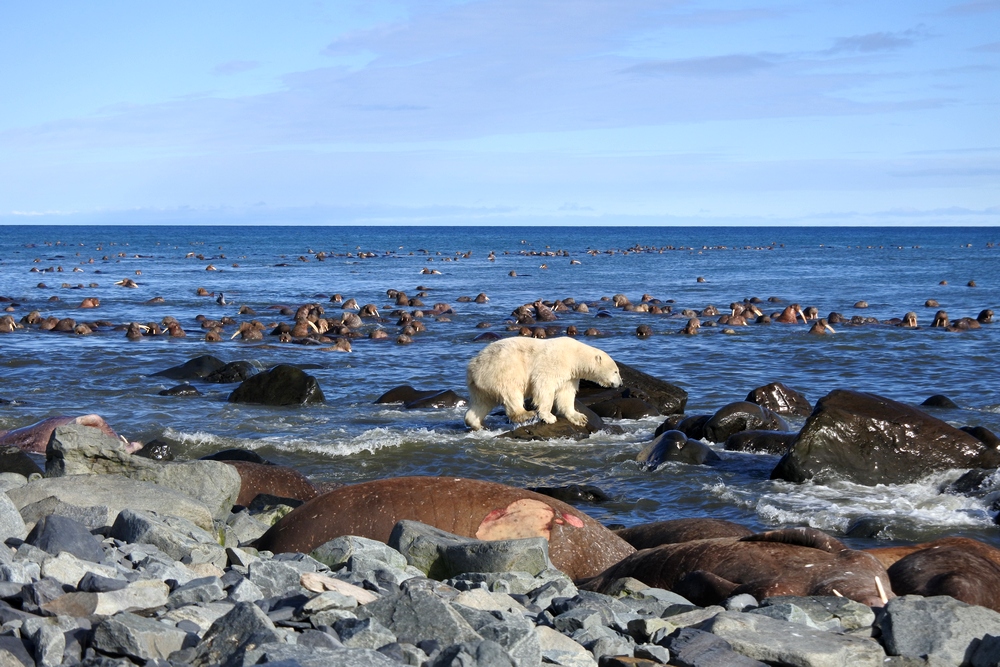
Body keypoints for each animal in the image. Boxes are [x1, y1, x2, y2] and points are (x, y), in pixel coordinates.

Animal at [464, 336, 620, 430]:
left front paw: (580, 417)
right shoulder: (554, 362)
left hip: (481, 385)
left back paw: (478, 424)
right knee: (511, 392)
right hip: (502, 370)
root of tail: (473, 367)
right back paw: (526, 413)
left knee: (481, 403)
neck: (573, 355)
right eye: (616, 371)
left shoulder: (570, 376)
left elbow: (566, 394)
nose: (620, 383)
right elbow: (544, 386)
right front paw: (549, 417)